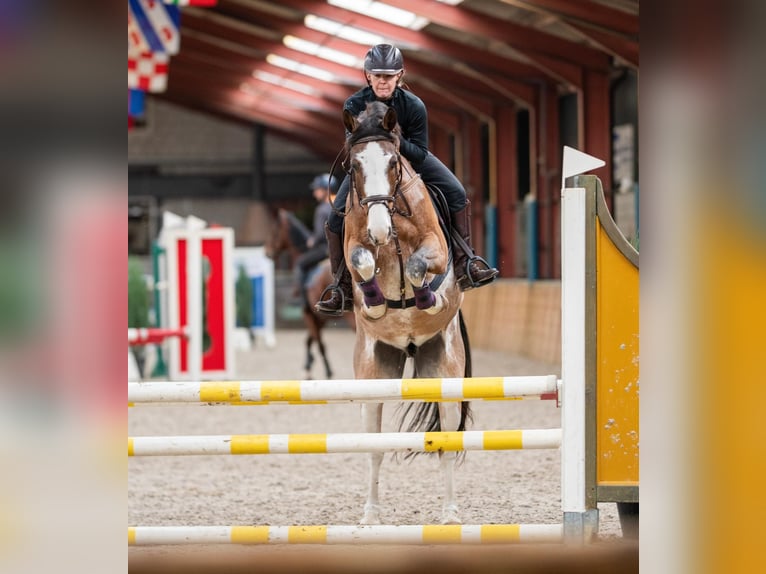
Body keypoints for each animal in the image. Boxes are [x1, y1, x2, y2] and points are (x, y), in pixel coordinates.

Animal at [265, 208, 353, 380]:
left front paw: (325, 371)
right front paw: (309, 364)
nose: (267, 252)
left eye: (274, 231)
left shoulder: (308, 314)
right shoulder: (320, 317)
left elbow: (319, 343)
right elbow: (310, 340)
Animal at [342, 101, 472, 525]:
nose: (381, 229)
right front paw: (376, 301)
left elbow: (416, 266)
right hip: (374, 377)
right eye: (354, 166)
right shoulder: (354, 245)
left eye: (394, 162)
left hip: (445, 371)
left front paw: (426, 298)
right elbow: (363, 261)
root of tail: (412, 348)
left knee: (447, 442)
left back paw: (450, 514)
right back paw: (370, 516)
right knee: (374, 448)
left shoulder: (436, 248)